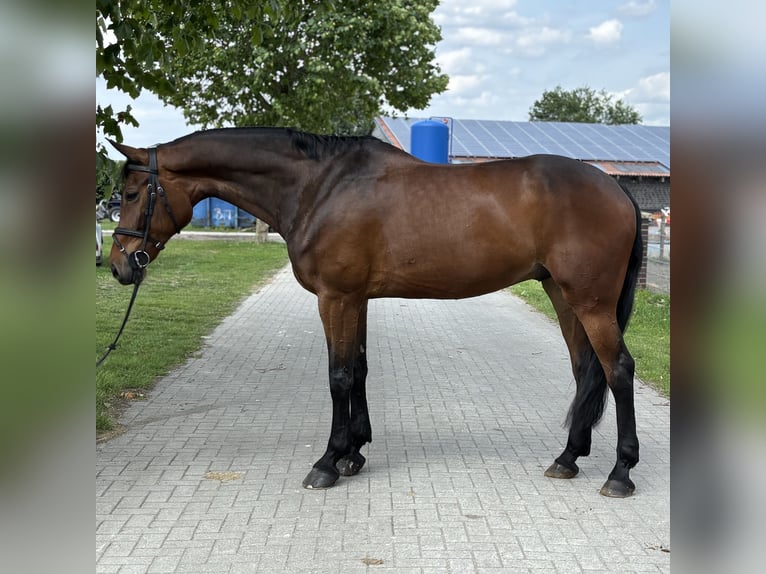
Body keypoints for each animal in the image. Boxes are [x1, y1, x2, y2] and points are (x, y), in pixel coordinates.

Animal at [109, 127, 643, 498]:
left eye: (132, 195)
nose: (117, 265)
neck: (319, 186)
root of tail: (616, 188)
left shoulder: (335, 297)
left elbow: (339, 376)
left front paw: (328, 462)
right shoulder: (356, 298)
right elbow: (360, 369)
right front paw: (354, 453)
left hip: (590, 300)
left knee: (618, 370)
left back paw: (620, 473)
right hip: (562, 293)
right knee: (585, 370)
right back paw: (568, 457)